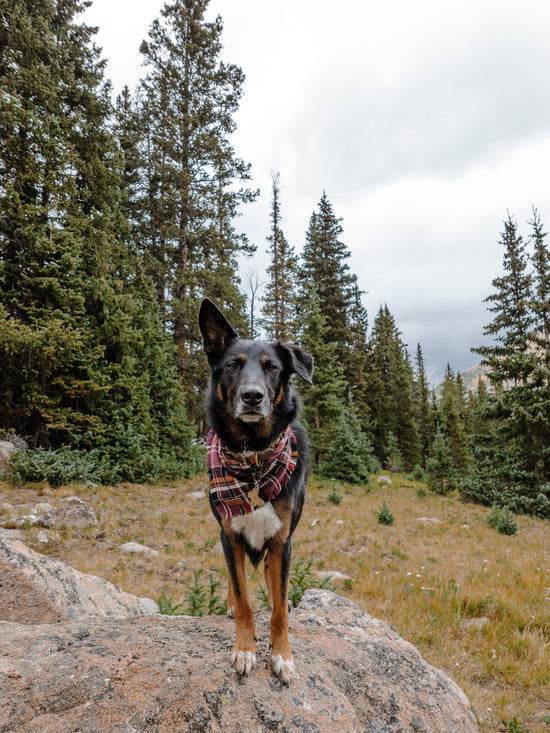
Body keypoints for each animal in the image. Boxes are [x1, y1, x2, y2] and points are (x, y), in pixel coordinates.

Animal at [199, 294, 314, 684]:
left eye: (272, 368)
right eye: (233, 365)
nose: (252, 396)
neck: (253, 459)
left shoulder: (282, 541)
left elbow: (278, 609)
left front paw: (282, 655)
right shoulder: (229, 535)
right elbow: (244, 597)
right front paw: (245, 649)